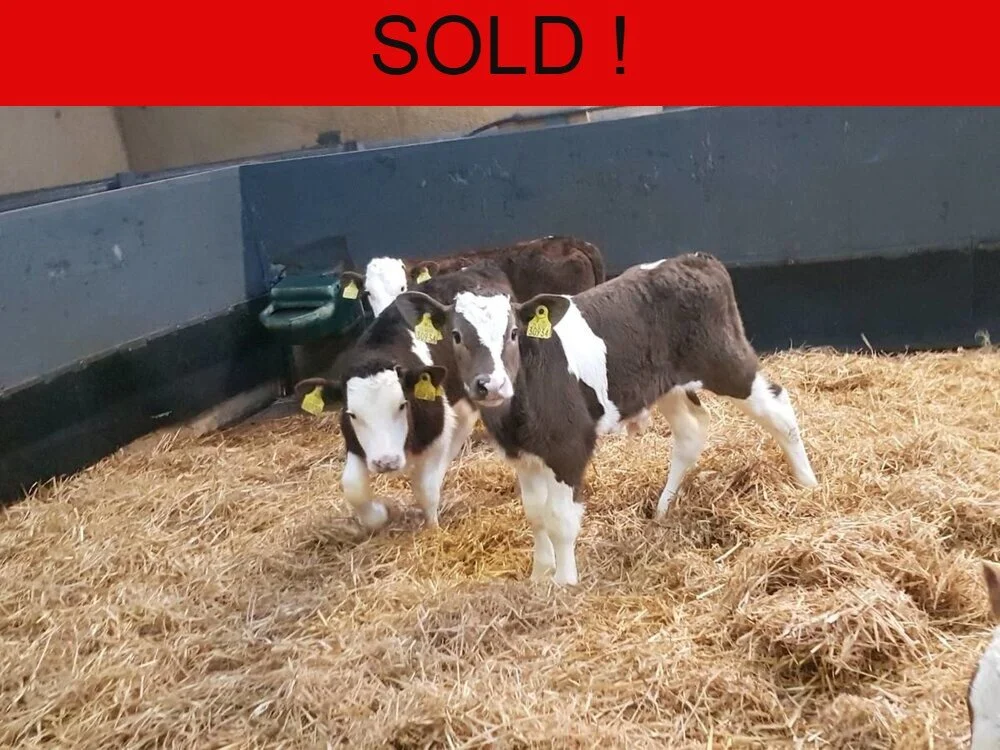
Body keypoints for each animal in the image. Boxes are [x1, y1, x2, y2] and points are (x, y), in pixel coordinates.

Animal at [295, 264, 512, 531]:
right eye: (352, 414)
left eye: (402, 405)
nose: (386, 462)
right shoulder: (356, 445)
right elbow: (353, 488)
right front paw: (379, 514)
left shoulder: (437, 432)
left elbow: (425, 487)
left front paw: (433, 529)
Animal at [395, 252, 819, 585]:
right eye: (456, 336)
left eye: (513, 333)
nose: (491, 383)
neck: (518, 409)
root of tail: (695, 259)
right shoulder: (524, 457)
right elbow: (535, 514)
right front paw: (539, 576)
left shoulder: (570, 447)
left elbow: (560, 517)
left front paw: (565, 583)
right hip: (666, 386)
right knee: (691, 431)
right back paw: (663, 509)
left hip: (727, 363)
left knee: (779, 409)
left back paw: (808, 484)